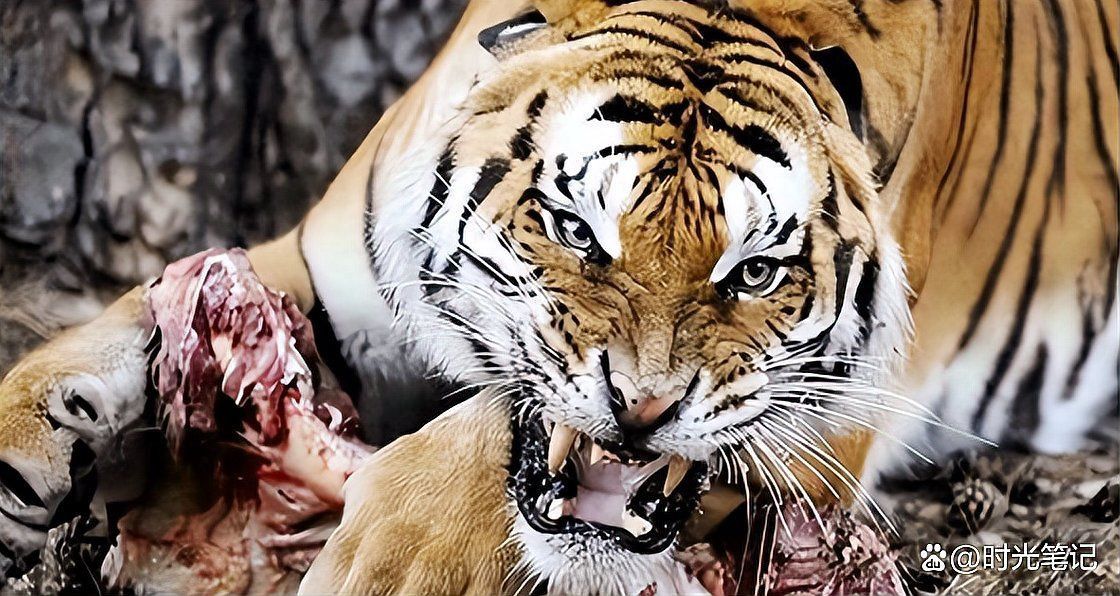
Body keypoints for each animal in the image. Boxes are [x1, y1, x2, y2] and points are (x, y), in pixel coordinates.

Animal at [1, 0, 1116, 593]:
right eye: (576, 228)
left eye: (754, 271)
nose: (645, 410)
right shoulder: (312, 273)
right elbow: (120, 322)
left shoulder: (825, 422)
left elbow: (493, 423)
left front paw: (397, 559)